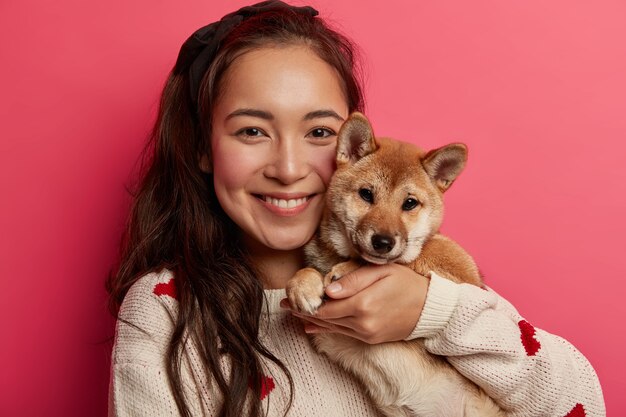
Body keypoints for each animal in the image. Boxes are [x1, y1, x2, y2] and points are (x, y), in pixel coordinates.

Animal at [286, 111, 504, 416]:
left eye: (410, 203)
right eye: (366, 194)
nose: (383, 242)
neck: (341, 255)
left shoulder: (462, 270)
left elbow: (410, 257)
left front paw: (346, 270)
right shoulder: (330, 336)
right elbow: (307, 271)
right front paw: (302, 286)